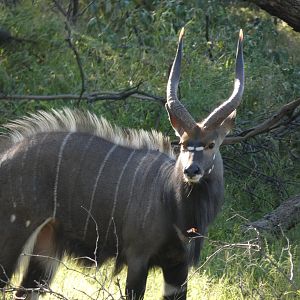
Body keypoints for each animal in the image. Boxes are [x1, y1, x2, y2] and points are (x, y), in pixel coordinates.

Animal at [0, 27, 244, 298]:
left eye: (211, 144)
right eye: (182, 143)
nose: (191, 170)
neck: (171, 201)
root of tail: (4, 156)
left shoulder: (177, 267)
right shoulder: (137, 258)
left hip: (46, 249)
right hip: (12, 234)